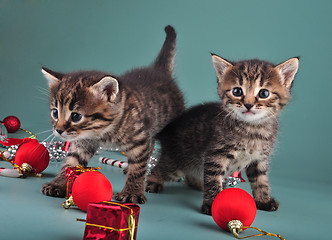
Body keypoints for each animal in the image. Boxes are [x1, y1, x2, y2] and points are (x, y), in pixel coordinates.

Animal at [40, 25, 184, 203]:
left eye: (76, 116)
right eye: (55, 112)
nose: (59, 130)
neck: (103, 131)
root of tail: (159, 71)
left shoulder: (140, 137)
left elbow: (138, 167)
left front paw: (132, 192)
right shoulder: (83, 142)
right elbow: (72, 162)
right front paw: (59, 183)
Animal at [147, 54, 300, 214]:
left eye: (264, 93)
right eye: (237, 91)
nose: (248, 104)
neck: (252, 130)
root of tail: (169, 127)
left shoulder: (259, 159)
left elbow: (261, 181)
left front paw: (263, 200)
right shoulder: (215, 155)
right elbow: (213, 179)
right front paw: (212, 204)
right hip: (176, 163)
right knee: (156, 171)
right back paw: (153, 183)